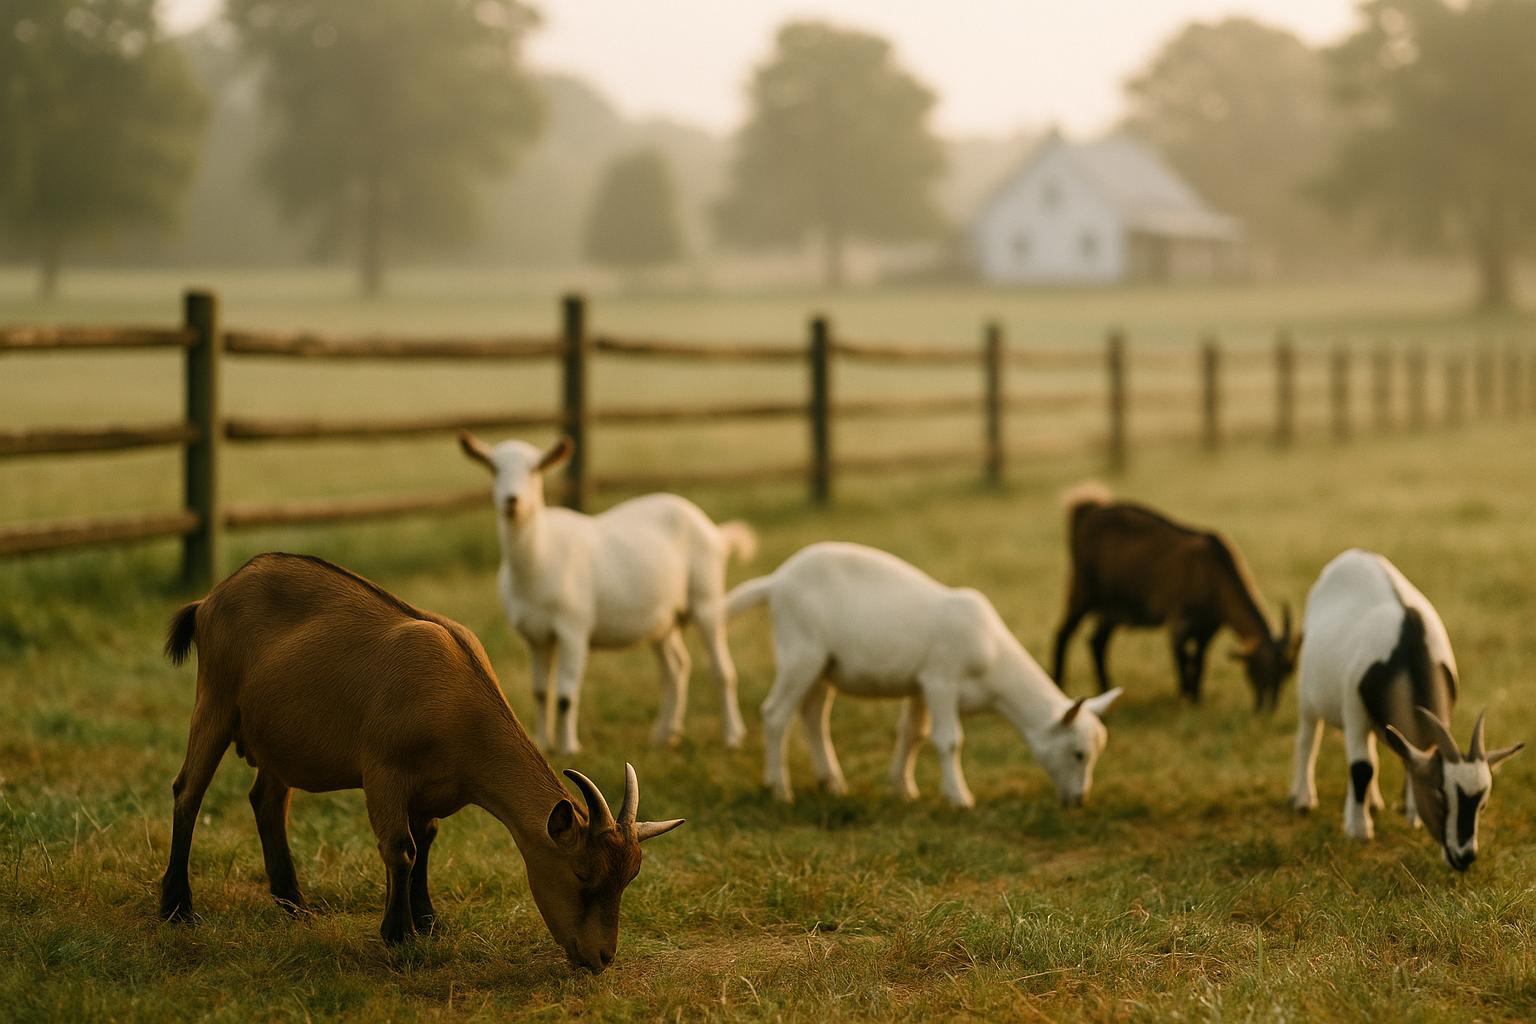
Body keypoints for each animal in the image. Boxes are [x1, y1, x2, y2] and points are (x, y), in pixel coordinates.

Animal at [158, 552, 683, 970]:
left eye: (629, 878)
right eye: (581, 876)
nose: (601, 957)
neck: (458, 703)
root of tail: (210, 599)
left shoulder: (433, 788)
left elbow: (426, 840)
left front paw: (428, 920)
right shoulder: (384, 773)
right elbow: (400, 848)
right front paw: (399, 935)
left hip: (278, 741)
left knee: (267, 800)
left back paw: (296, 905)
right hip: (215, 700)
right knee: (188, 791)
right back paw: (177, 908)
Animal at [460, 433, 755, 754]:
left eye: (535, 469)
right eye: (493, 468)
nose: (512, 500)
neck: (540, 554)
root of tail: (713, 531)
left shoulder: (573, 628)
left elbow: (565, 694)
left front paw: (569, 748)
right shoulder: (534, 636)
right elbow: (539, 691)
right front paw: (542, 744)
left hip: (706, 597)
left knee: (721, 670)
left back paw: (732, 736)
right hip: (662, 620)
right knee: (675, 668)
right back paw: (665, 734)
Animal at [727, 542, 1122, 808]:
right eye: (1078, 753)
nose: (1079, 801)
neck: (996, 675)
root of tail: (776, 582)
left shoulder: (920, 687)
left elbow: (912, 734)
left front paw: (904, 788)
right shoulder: (941, 679)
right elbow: (948, 740)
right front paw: (959, 797)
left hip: (824, 665)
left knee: (813, 715)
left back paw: (832, 783)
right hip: (800, 653)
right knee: (775, 714)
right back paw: (780, 789)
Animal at [1052, 483, 1298, 711]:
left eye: (1287, 670)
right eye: (1262, 669)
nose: (1267, 709)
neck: (1214, 573)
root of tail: (1085, 513)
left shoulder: (1209, 627)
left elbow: (1200, 661)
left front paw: (1197, 699)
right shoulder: (1180, 620)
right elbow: (1182, 658)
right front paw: (1184, 699)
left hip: (1114, 607)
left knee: (1097, 641)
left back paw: (1106, 689)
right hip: (1084, 589)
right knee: (1063, 633)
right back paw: (1059, 684)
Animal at [1291, 549, 1522, 869]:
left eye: (1483, 804)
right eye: (1441, 796)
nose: (1464, 858)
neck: (1408, 645)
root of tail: (1355, 555)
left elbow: (1400, 757)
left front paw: (1410, 816)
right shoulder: (1354, 708)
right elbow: (1361, 767)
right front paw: (1359, 830)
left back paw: (1373, 802)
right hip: (1307, 696)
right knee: (1308, 741)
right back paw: (1304, 799)